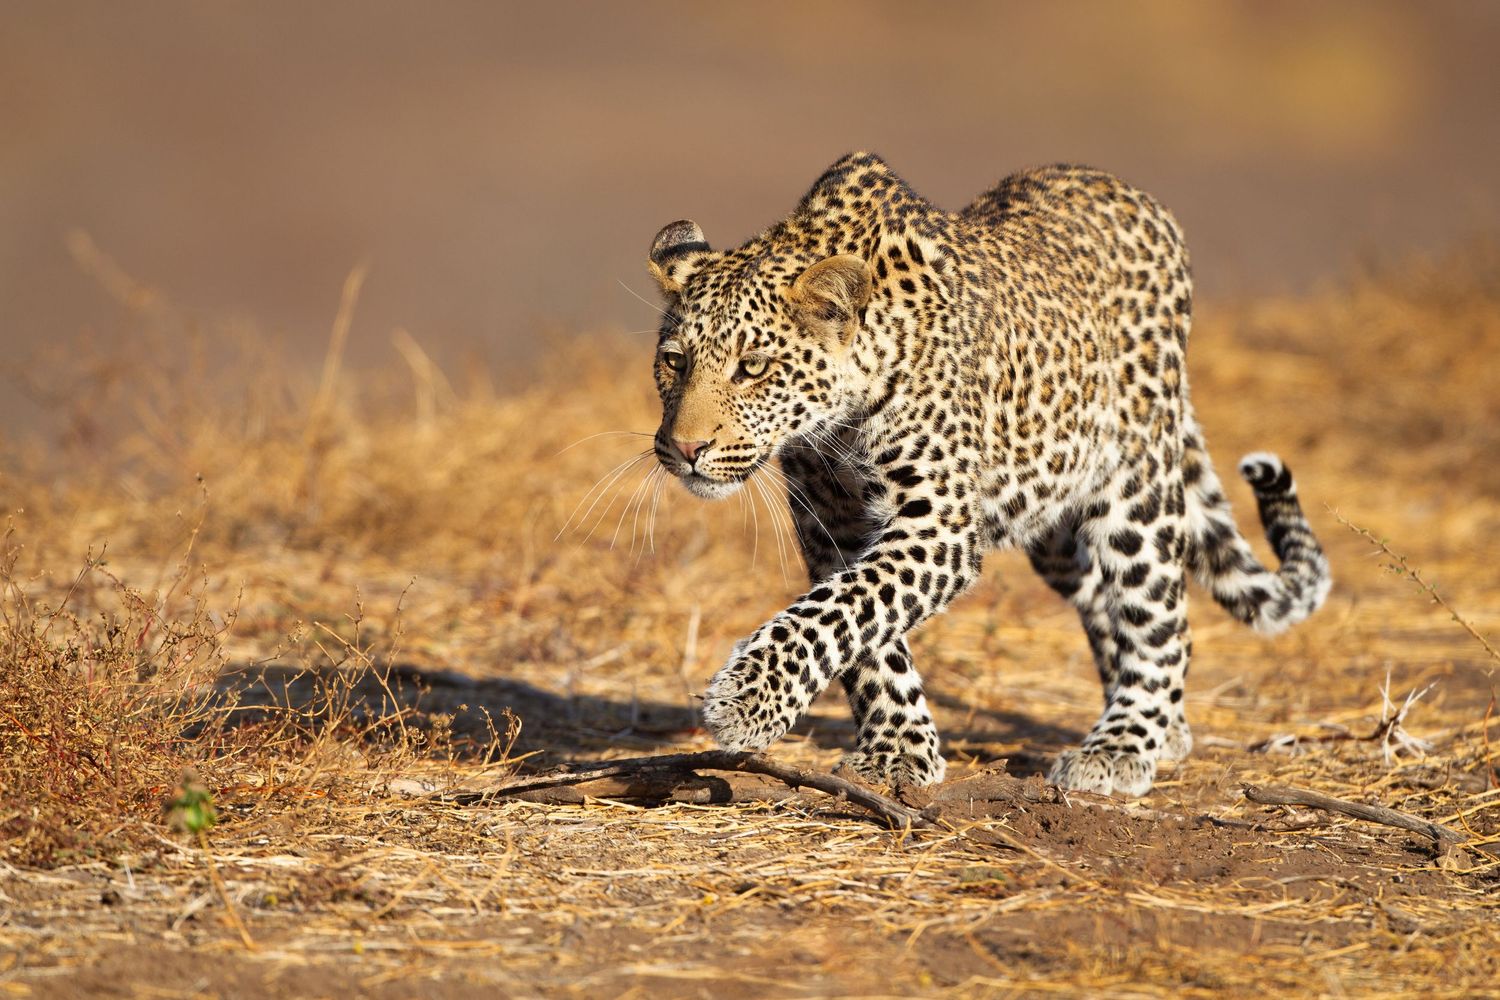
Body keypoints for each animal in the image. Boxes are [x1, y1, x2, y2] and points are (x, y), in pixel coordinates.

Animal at [643, 152, 1331, 796]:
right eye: (674, 361)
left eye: (754, 366)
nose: (684, 448)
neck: (840, 415)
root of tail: (1135, 195)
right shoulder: (832, 525)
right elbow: (863, 630)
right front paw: (897, 750)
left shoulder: (937, 525)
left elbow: (838, 611)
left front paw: (744, 701)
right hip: (1053, 517)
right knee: (1099, 594)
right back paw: (1166, 729)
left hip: (1135, 483)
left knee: (1160, 613)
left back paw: (1126, 741)